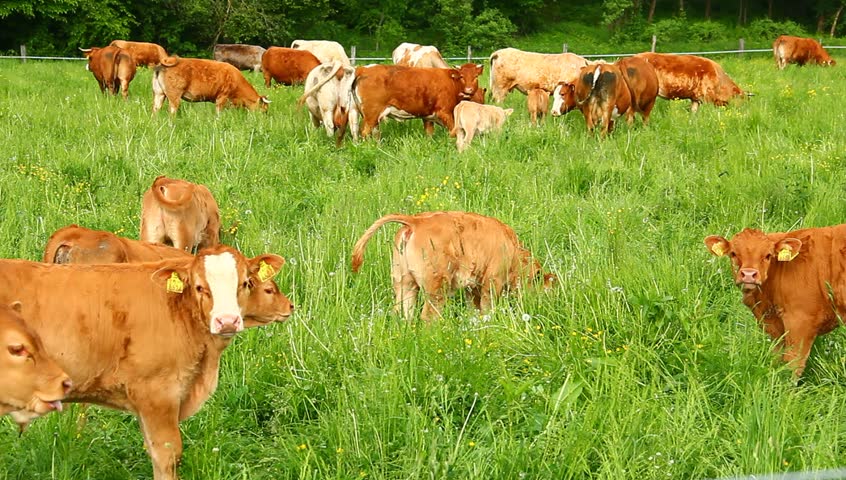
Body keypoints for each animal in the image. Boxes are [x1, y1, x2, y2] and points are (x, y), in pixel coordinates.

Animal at [349, 63, 484, 139]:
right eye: (462, 76)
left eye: (475, 77)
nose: (468, 90)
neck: (452, 83)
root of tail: (364, 69)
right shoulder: (444, 113)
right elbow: (454, 132)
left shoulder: (428, 117)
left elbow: (429, 134)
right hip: (371, 114)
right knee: (365, 132)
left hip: (362, 113)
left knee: (362, 132)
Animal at [351, 211, 556, 321]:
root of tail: (415, 221)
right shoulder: (492, 281)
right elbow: (487, 307)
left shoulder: (472, 287)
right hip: (436, 288)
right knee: (428, 316)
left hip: (404, 283)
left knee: (402, 314)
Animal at [705, 225, 846, 377]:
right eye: (733, 253)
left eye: (767, 255)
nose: (748, 275)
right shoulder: (775, 328)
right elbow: (776, 359)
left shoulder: (801, 321)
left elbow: (792, 365)